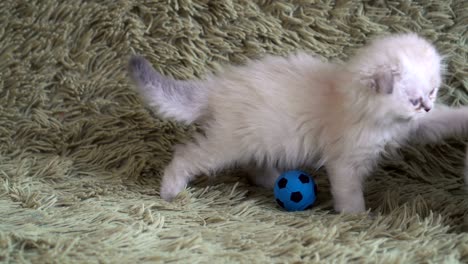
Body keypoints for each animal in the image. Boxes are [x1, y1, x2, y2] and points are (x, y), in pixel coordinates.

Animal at [130, 33, 468, 214]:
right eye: (415, 100)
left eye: (433, 93)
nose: (427, 106)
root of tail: (218, 86)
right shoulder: (345, 162)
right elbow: (350, 194)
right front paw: (358, 219)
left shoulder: (417, 127)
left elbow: (446, 119)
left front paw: (464, 116)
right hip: (226, 144)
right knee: (187, 154)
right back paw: (170, 190)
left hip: (257, 138)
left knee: (253, 165)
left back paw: (272, 180)